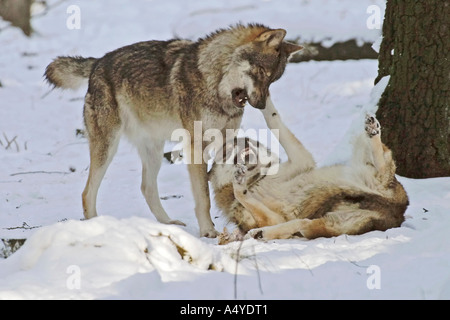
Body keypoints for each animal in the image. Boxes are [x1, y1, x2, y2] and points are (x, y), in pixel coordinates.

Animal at [44, 23, 302, 238]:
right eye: (261, 73)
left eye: (272, 80)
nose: (261, 105)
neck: (214, 83)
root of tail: (98, 62)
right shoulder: (196, 146)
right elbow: (203, 196)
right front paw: (208, 231)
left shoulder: (225, 140)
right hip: (107, 148)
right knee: (87, 193)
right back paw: (96, 226)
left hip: (154, 152)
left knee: (146, 187)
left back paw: (168, 224)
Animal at [209, 99, 410, 242]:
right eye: (226, 151)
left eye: (246, 141)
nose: (242, 143)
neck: (257, 178)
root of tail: (398, 212)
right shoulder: (272, 217)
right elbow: (243, 196)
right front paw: (239, 184)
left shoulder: (300, 160)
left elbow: (273, 118)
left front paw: (265, 100)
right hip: (329, 221)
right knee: (302, 223)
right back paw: (260, 233)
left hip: (361, 155)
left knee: (381, 157)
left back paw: (373, 128)